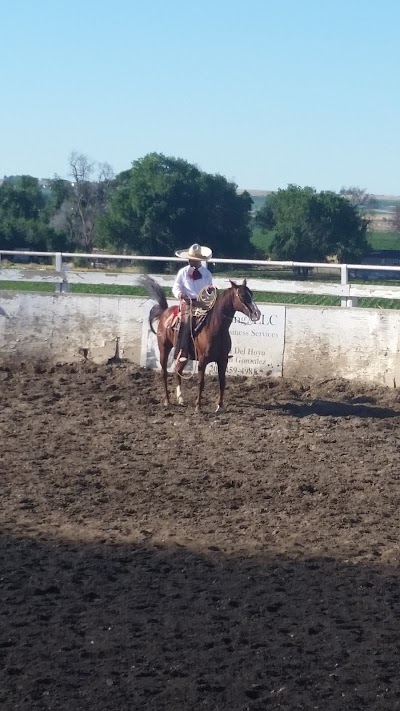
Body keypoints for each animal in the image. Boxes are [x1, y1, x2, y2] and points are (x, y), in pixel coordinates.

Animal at [139, 276, 260, 414]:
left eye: (251, 294)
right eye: (242, 295)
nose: (256, 313)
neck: (215, 328)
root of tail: (165, 311)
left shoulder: (223, 360)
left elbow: (222, 382)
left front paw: (220, 406)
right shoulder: (203, 361)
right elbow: (201, 382)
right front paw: (198, 406)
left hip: (183, 355)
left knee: (177, 371)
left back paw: (180, 399)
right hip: (164, 348)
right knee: (164, 372)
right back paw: (167, 401)